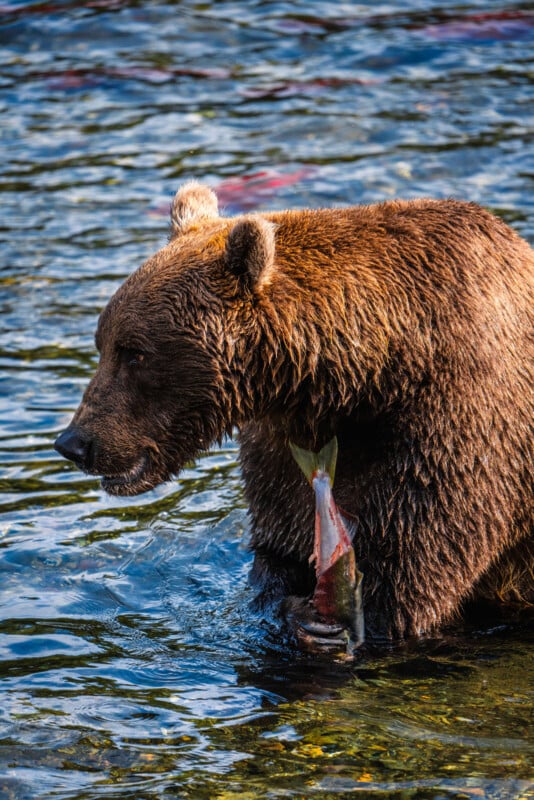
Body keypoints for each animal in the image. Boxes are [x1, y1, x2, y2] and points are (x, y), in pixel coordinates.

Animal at [55, 181, 534, 643]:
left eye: (134, 353)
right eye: (103, 344)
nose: (74, 442)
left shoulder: (456, 427)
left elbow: (410, 580)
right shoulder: (282, 446)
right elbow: (279, 547)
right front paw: (293, 608)